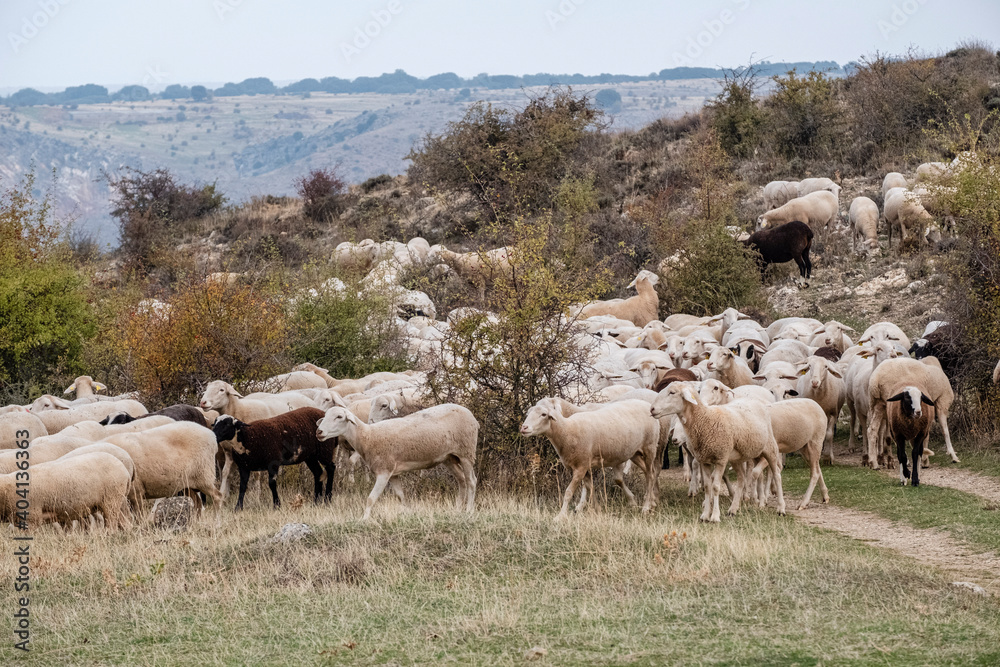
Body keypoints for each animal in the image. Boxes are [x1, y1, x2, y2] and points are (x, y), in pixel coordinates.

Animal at [0, 454, 132, 532]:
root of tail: (125, 470)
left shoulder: (31, 519)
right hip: (118, 499)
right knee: (125, 523)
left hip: (111, 499)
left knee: (112, 524)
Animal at [318, 402, 478, 520]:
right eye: (325, 416)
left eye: (339, 416)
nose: (318, 432)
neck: (368, 437)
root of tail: (470, 414)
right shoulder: (393, 474)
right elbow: (401, 497)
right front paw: (409, 513)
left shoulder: (384, 471)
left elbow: (371, 498)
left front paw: (363, 520)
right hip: (449, 457)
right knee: (461, 480)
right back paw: (457, 508)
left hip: (466, 452)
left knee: (471, 481)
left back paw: (469, 510)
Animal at [520, 400, 660, 520]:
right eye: (528, 413)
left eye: (544, 414)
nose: (524, 428)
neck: (567, 431)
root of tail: (646, 403)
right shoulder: (584, 466)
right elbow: (590, 488)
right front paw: (598, 511)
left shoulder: (580, 467)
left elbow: (568, 492)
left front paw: (560, 516)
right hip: (634, 452)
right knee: (649, 473)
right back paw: (651, 503)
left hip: (650, 446)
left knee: (651, 475)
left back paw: (646, 507)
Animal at [648, 380, 788, 520]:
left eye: (672, 392)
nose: (652, 409)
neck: (705, 419)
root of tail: (755, 400)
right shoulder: (705, 460)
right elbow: (707, 486)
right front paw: (705, 515)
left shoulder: (721, 459)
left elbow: (715, 487)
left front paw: (715, 516)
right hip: (737, 457)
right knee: (742, 478)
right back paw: (733, 509)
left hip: (770, 448)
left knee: (777, 474)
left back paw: (781, 508)